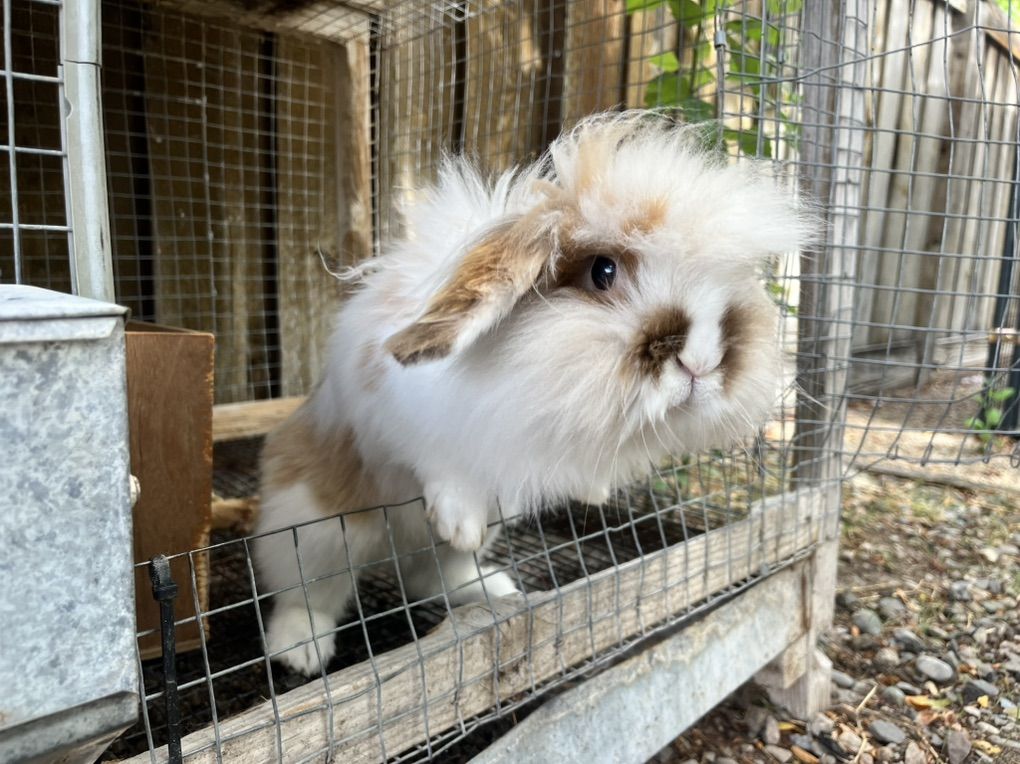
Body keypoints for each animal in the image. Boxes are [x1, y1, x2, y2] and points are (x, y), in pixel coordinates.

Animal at [254, 111, 815, 676]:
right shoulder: (395, 419)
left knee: (430, 575)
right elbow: (439, 462)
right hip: (317, 529)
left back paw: (489, 588)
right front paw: (457, 518)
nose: (701, 362)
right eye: (603, 271)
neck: (521, 379)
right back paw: (300, 649)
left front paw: (593, 492)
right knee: (307, 591)